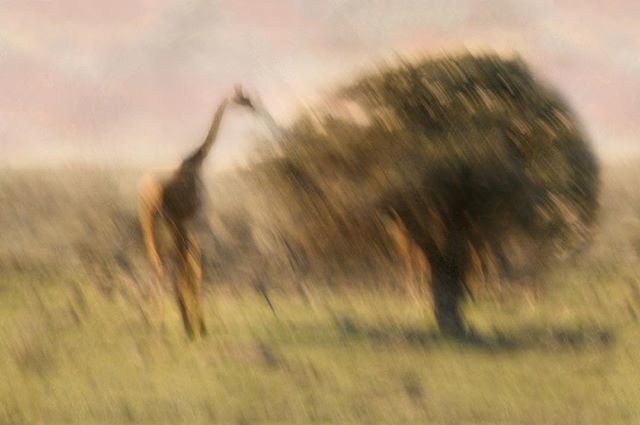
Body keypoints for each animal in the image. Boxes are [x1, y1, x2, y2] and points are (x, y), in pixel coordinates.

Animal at [137, 85, 256, 339]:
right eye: (243, 98)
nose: (254, 106)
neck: (197, 159)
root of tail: (146, 193)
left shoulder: (184, 221)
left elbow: (189, 266)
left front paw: (194, 325)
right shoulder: (193, 218)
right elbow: (193, 267)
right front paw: (197, 327)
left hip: (149, 222)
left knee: (157, 262)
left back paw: (154, 325)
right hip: (166, 221)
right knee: (168, 265)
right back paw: (165, 326)